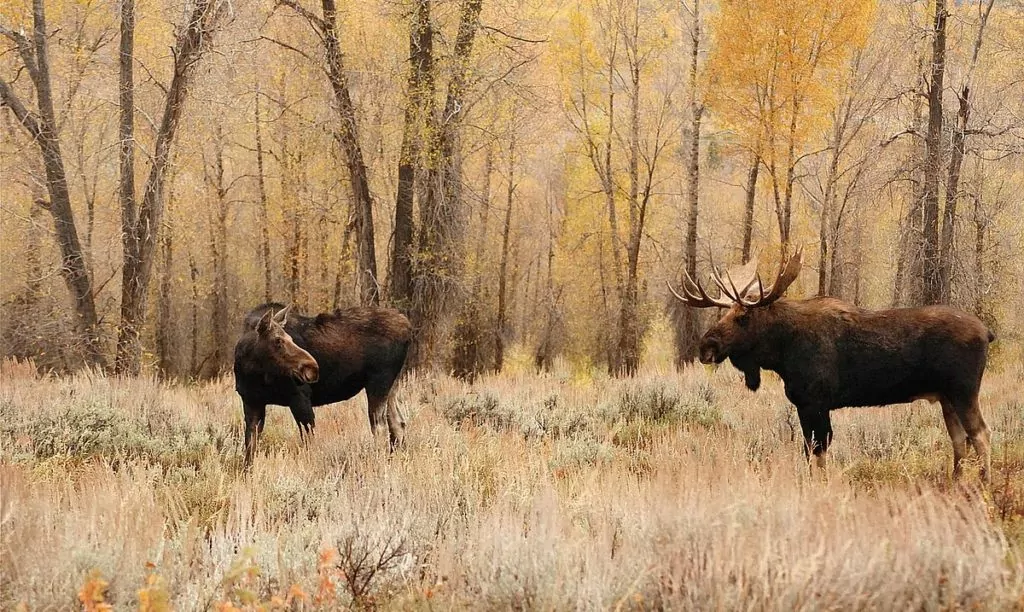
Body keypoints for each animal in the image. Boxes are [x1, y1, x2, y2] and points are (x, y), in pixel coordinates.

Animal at [232, 304, 411, 468]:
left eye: (290, 338)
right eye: (278, 340)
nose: (312, 367)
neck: (252, 373)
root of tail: (408, 329)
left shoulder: (300, 398)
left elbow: (309, 442)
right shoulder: (252, 402)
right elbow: (250, 449)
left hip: (379, 381)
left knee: (379, 427)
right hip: (392, 384)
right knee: (398, 422)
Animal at [667, 249, 995, 485]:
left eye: (743, 317)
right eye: (725, 313)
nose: (706, 346)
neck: (782, 351)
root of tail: (987, 332)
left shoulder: (815, 402)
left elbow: (818, 450)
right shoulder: (805, 405)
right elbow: (811, 450)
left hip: (964, 391)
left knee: (981, 434)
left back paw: (984, 485)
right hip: (946, 397)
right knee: (960, 439)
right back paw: (956, 482)